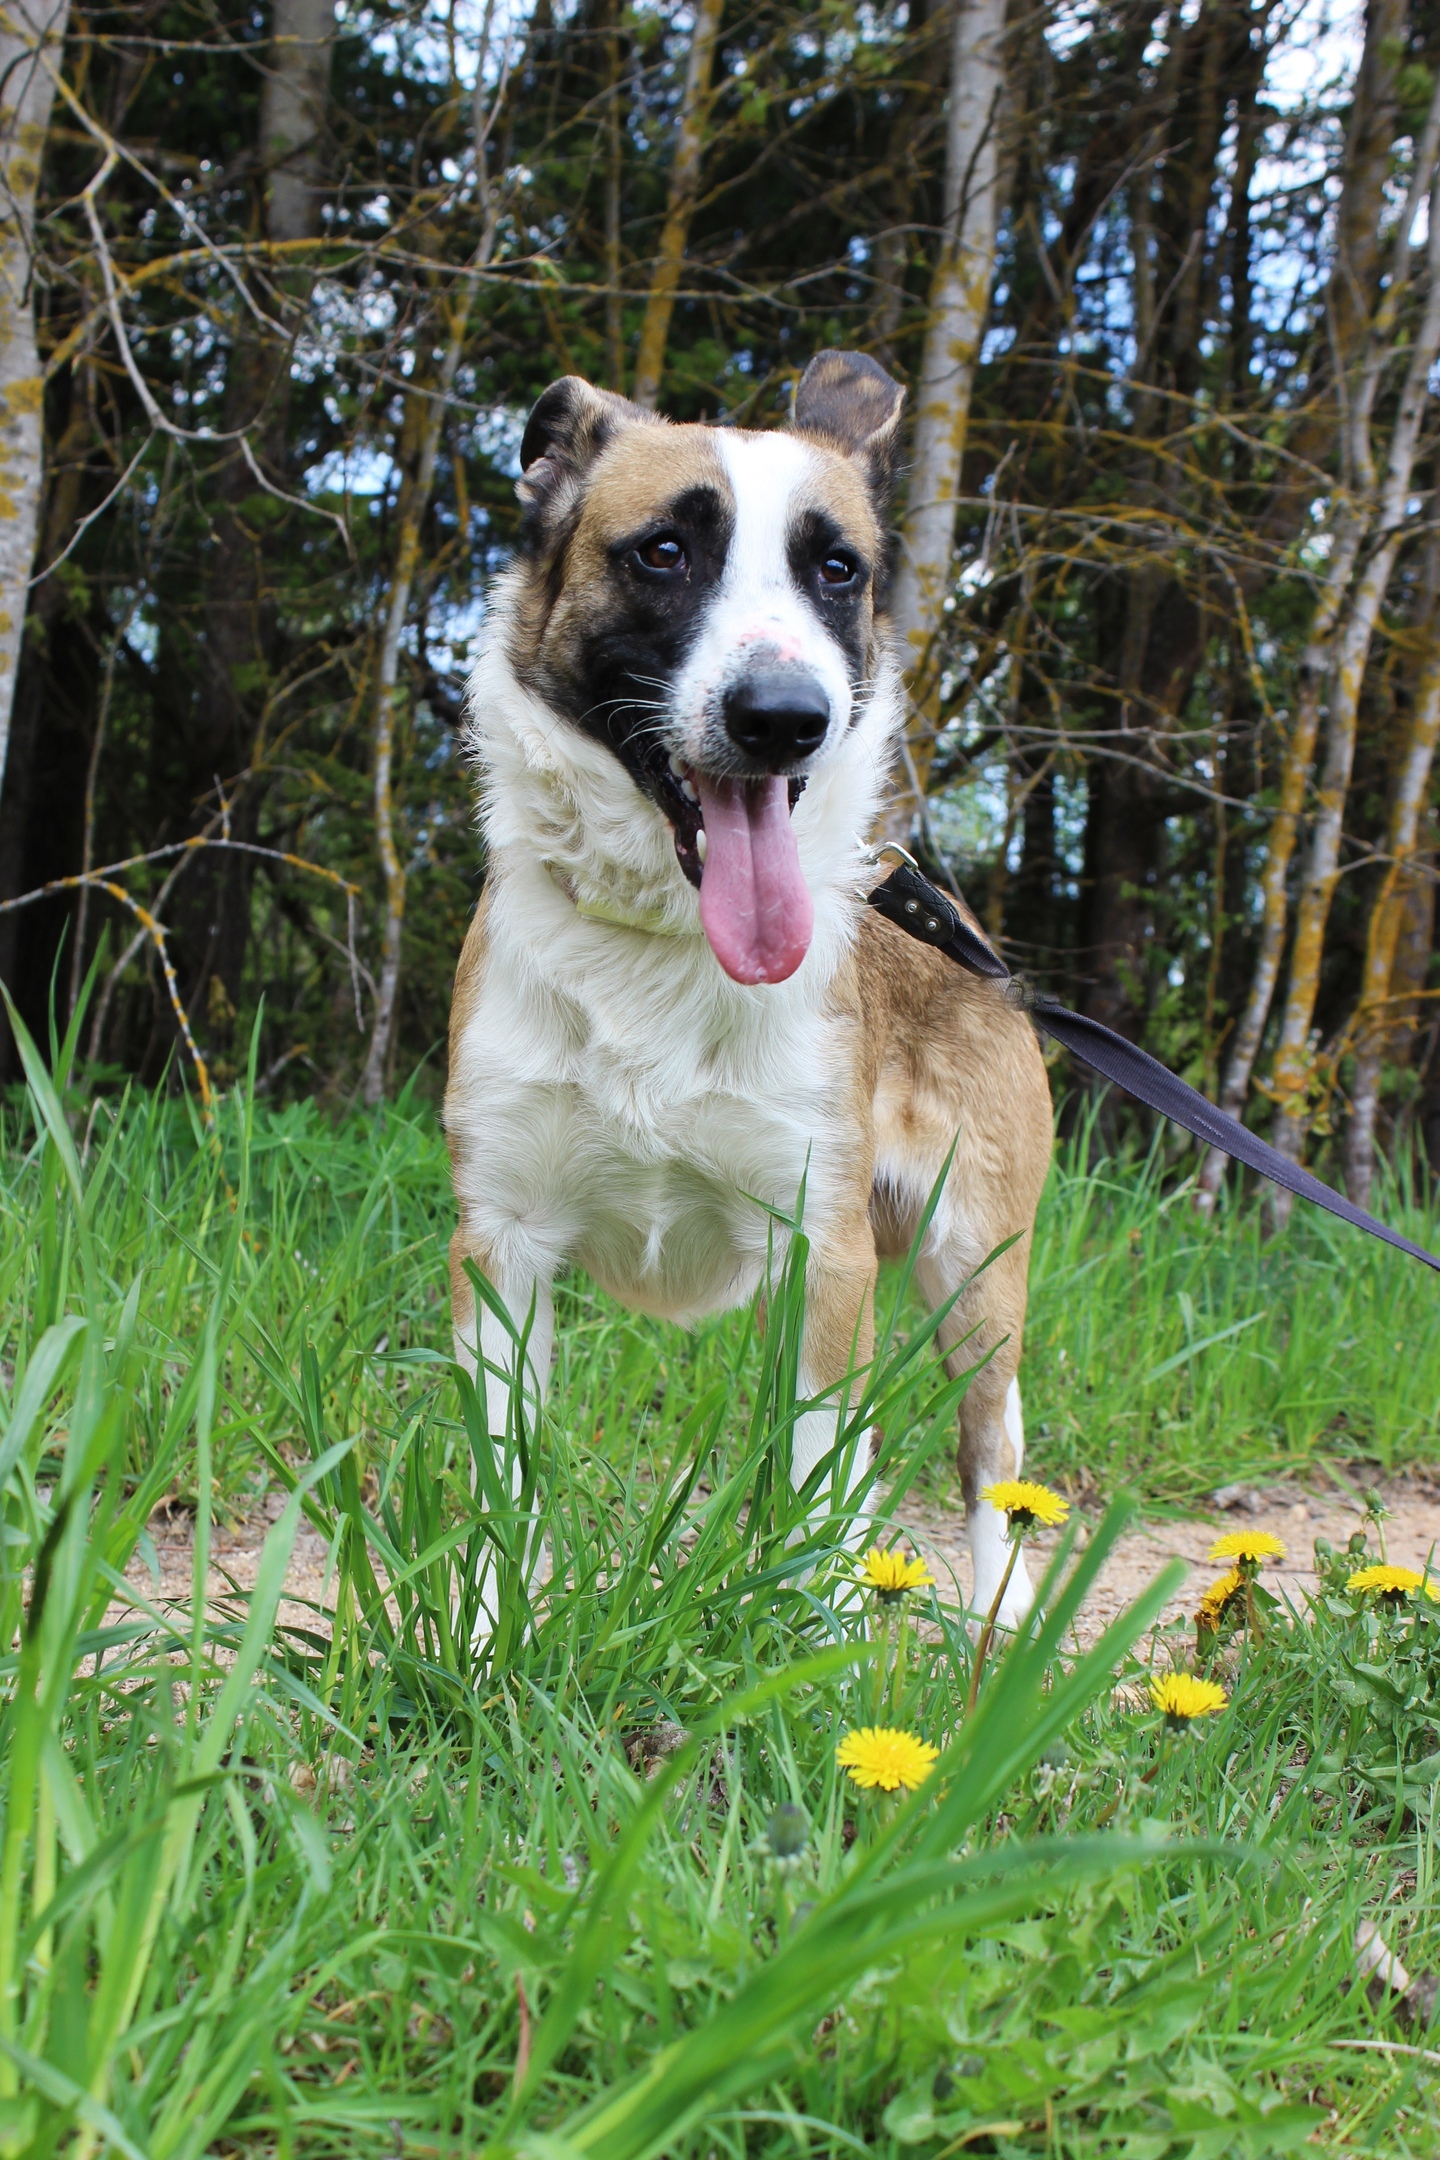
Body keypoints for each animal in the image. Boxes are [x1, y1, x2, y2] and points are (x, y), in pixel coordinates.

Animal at [444, 349, 1053, 1627]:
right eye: (664, 551)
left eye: (838, 568)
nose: (784, 720)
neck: (661, 944)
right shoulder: (502, 1248)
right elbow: (500, 1488)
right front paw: (482, 1638)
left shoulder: (823, 1255)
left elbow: (822, 1499)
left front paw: (806, 1659)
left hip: (974, 1275)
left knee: (989, 1463)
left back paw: (1002, 1637)